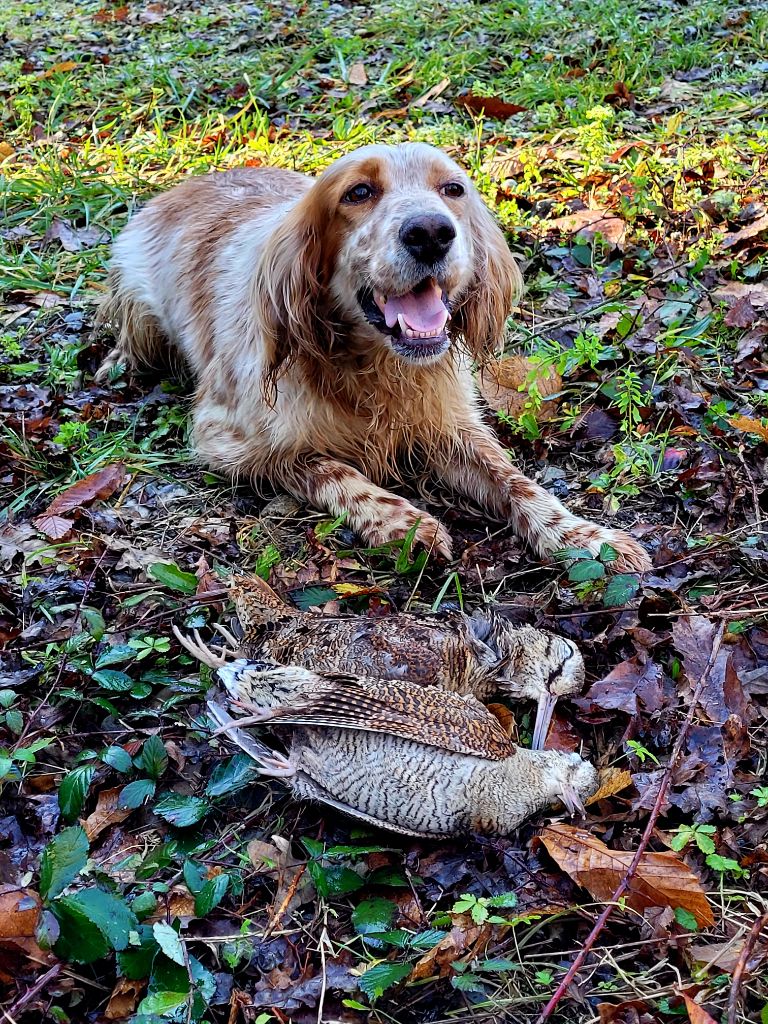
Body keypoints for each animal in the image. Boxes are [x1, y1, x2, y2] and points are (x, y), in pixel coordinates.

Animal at [96, 143, 651, 573]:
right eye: (358, 193)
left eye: (453, 189)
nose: (430, 232)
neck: (374, 367)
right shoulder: (229, 440)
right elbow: (330, 470)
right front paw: (401, 522)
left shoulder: (451, 425)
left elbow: (519, 483)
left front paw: (585, 537)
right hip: (137, 300)